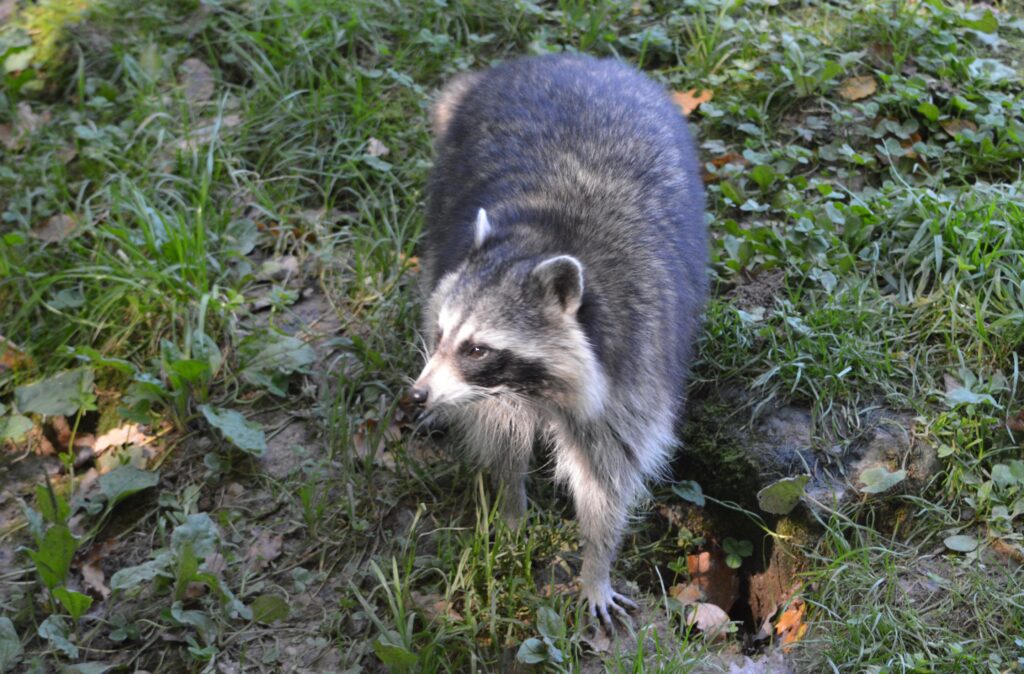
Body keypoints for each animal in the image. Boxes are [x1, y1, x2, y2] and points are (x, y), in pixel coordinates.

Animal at [411, 55, 708, 626]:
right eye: (441, 334)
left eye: (476, 348)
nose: (417, 393)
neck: (545, 240)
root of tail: (571, 60)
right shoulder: (492, 392)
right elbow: (501, 437)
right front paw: (511, 504)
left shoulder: (635, 359)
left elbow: (608, 471)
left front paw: (597, 561)